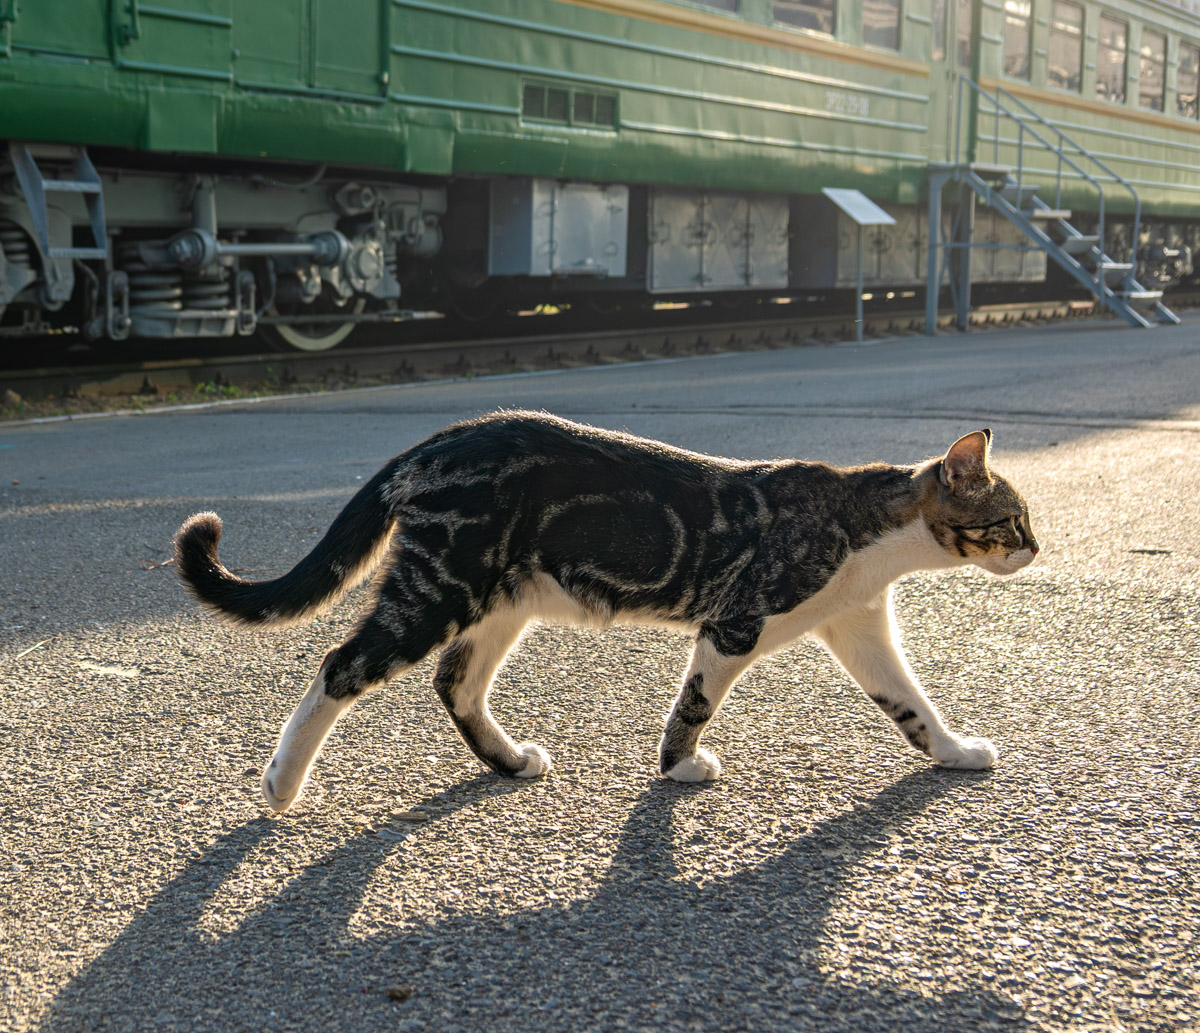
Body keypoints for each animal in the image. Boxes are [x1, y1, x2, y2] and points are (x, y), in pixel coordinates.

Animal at [171, 407, 1041, 811]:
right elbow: (694, 702)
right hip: (441, 586)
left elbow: (912, 703)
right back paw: (281, 784)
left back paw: (509, 759)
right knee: (339, 666)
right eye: (1012, 518)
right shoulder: (735, 622)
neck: (868, 530)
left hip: (500, 600)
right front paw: (680, 765)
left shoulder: (858, 626)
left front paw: (955, 750)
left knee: (455, 683)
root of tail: (436, 438)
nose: (1036, 549)